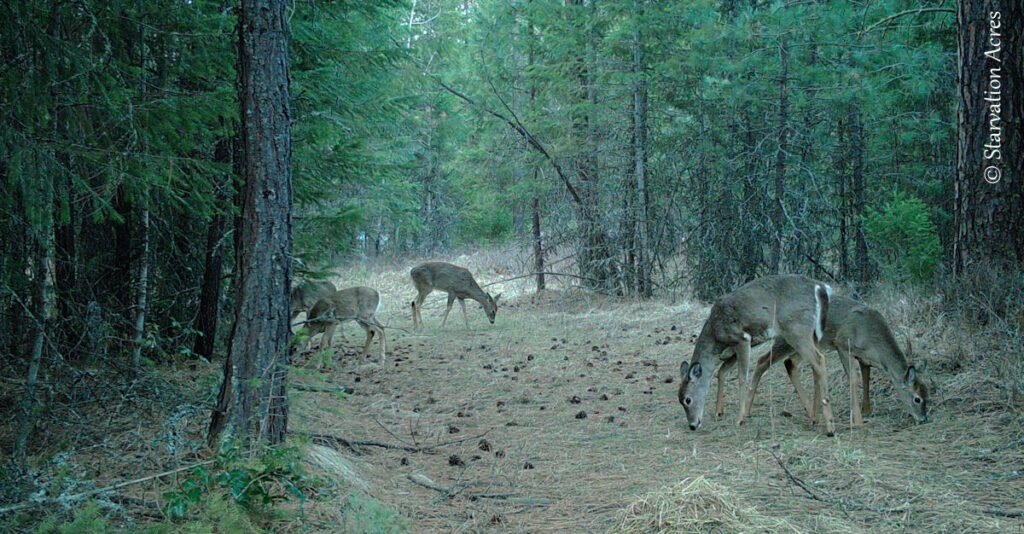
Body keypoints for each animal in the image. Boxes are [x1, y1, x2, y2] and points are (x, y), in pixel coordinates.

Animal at [675, 276, 835, 434]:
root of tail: (821, 287)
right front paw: (719, 412)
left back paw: (830, 426)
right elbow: (721, 372)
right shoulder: (735, 350)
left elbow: (742, 377)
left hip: (796, 329)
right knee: (812, 365)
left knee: (819, 359)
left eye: (688, 400)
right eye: (679, 400)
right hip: (812, 334)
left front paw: (740, 419)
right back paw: (815, 418)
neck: (715, 335)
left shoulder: (742, 339)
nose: (692, 425)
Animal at [712, 293, 929, 422]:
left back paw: (811, 410)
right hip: (787, 340)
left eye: (928, 395)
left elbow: (865, 379)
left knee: (789, 363)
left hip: (800, 345)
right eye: (917, 398)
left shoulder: (864, 358)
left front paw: (866, 410)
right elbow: (853, 378)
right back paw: (746, 410)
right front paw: (858, 418)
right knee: (762, 361)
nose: (924, 418)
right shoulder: (842, 343)